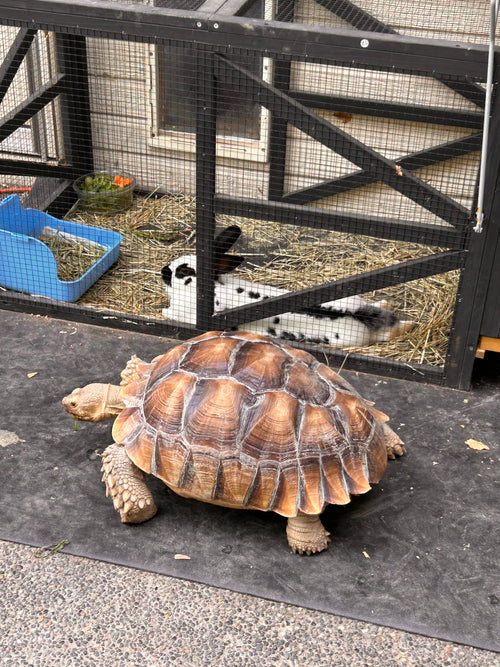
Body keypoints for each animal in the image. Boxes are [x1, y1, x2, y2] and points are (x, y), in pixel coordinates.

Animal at [161, 225, 415, 347]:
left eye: (183, 271)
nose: (164, 271)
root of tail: (358, 317)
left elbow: (169, 313)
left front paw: (163, 311)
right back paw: (396, 312)